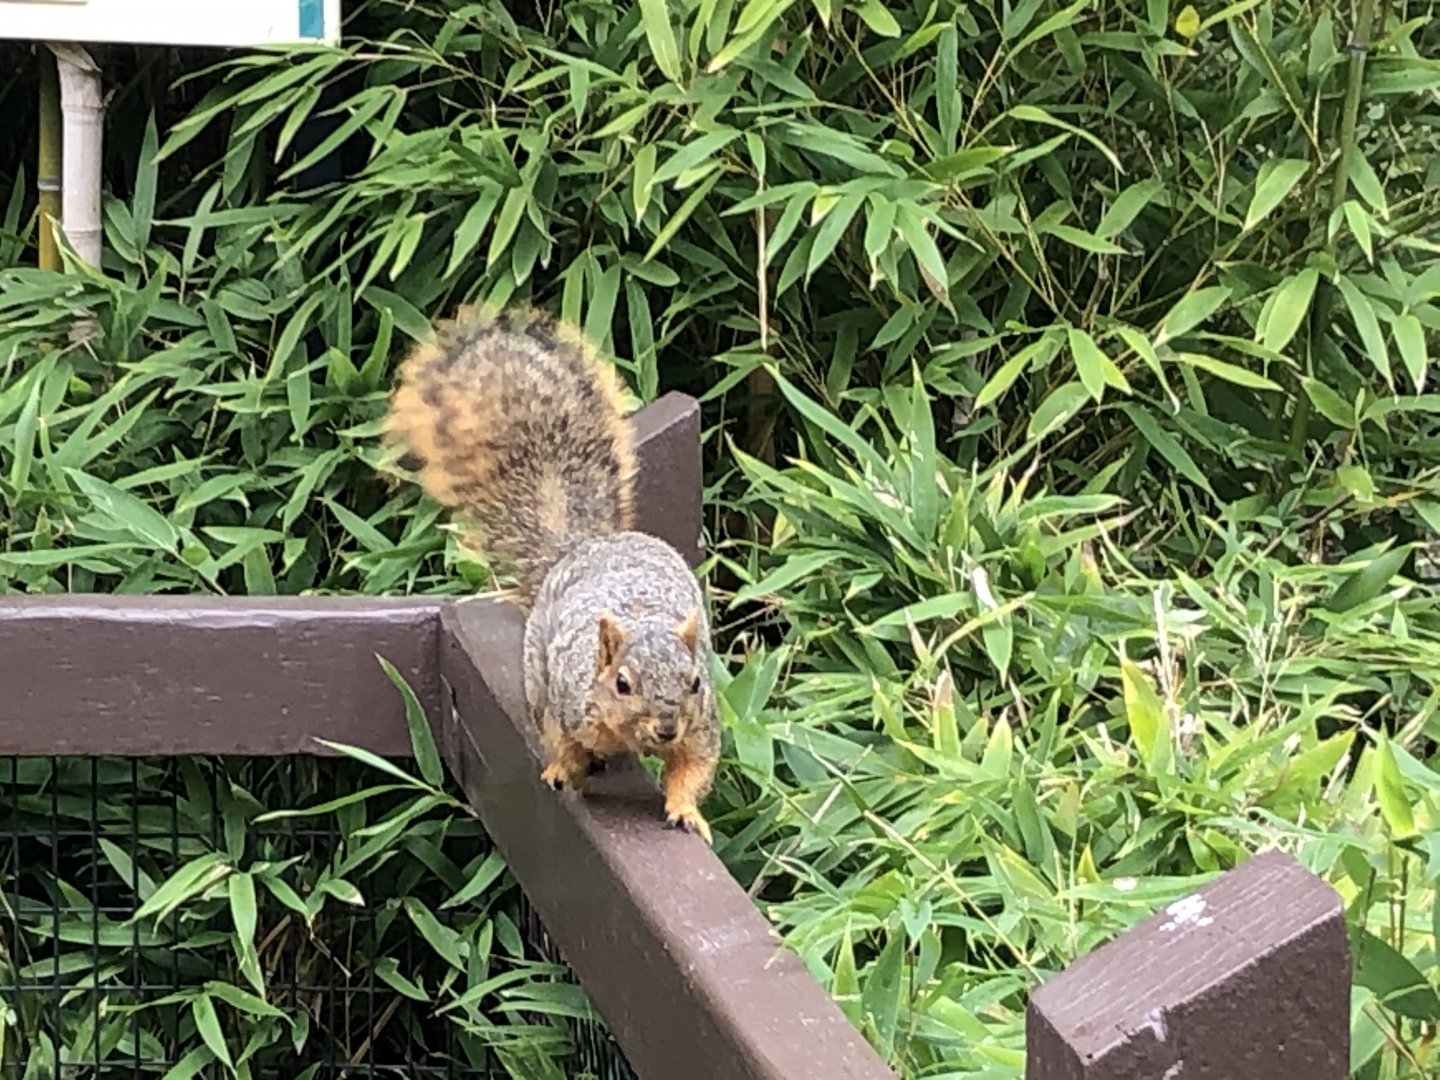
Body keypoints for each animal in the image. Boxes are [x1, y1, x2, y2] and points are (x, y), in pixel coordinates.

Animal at [381, 305, 721, 844]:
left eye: (692, 682)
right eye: (622, 684)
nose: (666, 726)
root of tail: (584, 547)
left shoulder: (702, 726)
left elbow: (694, 768)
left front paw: (686, 811)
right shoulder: (566, 706)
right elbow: (564, 744)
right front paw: (566, 770)